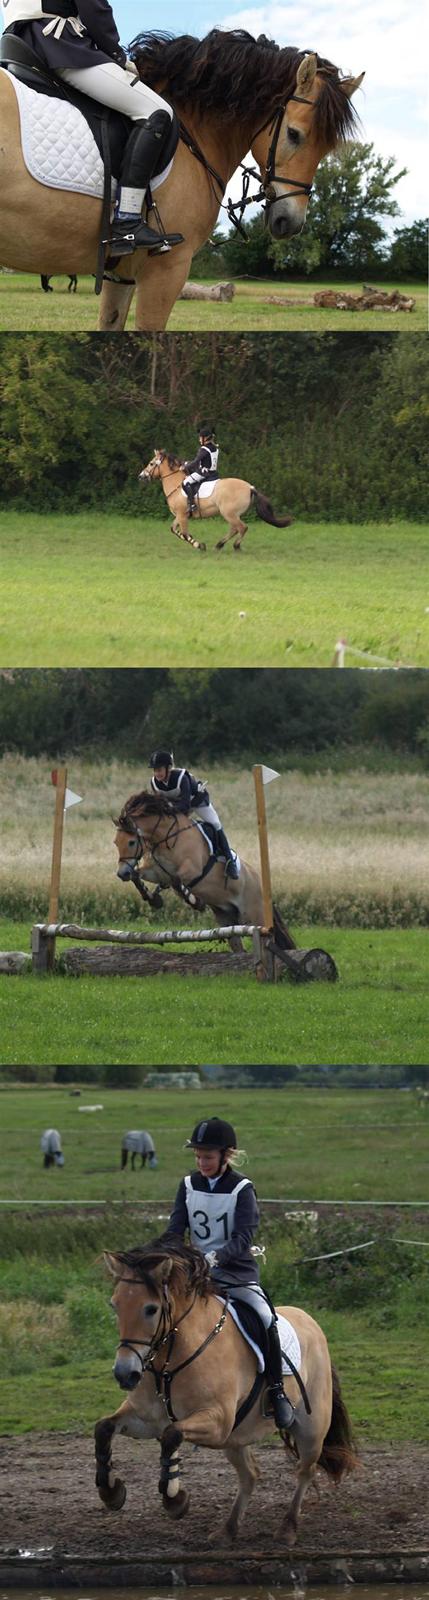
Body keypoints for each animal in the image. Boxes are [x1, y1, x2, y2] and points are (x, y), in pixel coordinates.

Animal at [95, 1241, 356, 1542]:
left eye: (151, 1309)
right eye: (115, 1305)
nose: (124, 1374)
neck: (168, 1361)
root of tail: (309, 1320)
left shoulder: (217, 1421)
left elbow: (171, 1435)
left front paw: (175, 1500)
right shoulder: (147, 1420)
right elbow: (105, 1428)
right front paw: (111, 1492)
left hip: (310, 1428)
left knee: (305, 1471)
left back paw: (287, 1528)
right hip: (236, 1436)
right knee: (250, 1475)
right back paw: (228, 1529)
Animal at [139, 451, 292, 550]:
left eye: (151, 464)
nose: (141, 476)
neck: (176, 485)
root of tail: (250, 487)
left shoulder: (182, 515)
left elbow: (184, 533)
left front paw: (199, 545)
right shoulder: (180, 515)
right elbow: (175, 530)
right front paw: (197, 542)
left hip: (228, 513)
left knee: (242, 528)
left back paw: (236, 546)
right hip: (231, 514)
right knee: (235, 528)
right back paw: (219, 544)